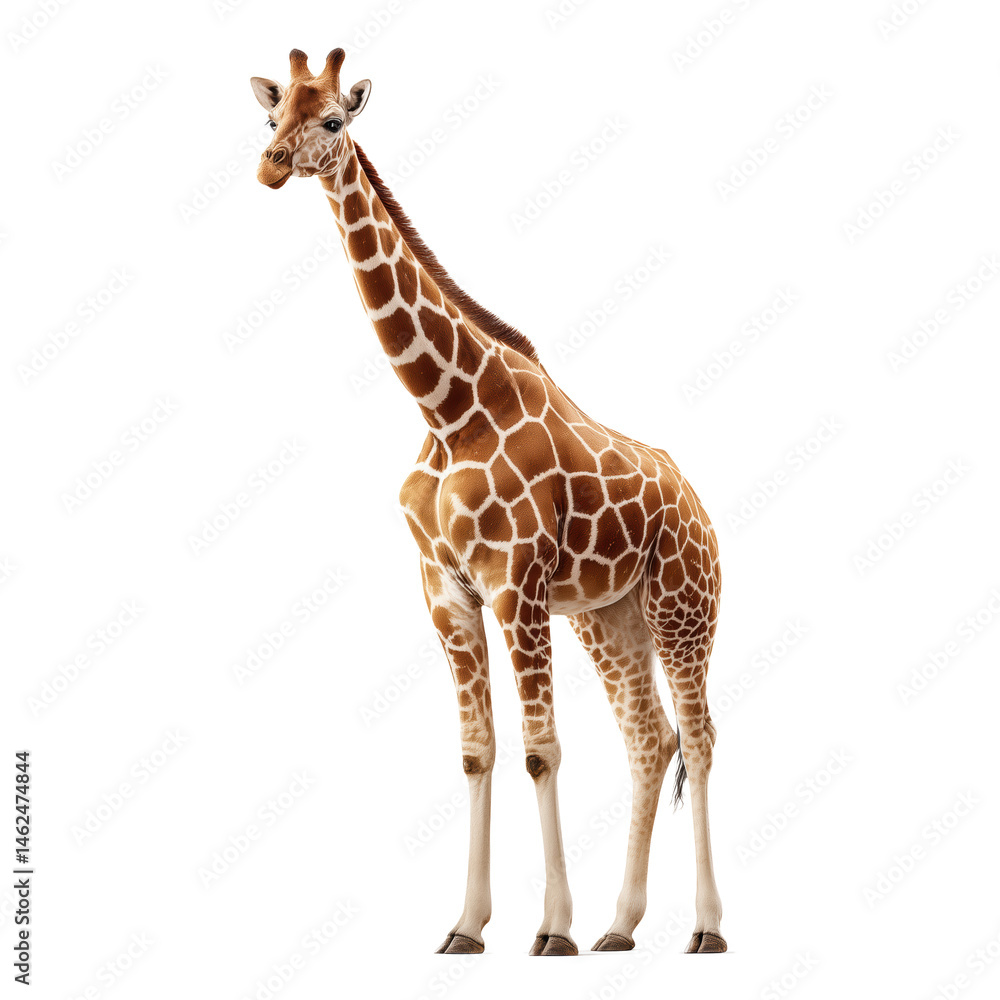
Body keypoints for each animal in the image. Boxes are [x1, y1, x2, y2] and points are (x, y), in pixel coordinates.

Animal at [250, 47, 727, 957]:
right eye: (270, 114)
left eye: (333, 119)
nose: (271, 165)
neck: (447, 408)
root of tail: (700, 507)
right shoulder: (446, 590)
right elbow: (477, 751)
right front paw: (468, 926)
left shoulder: (517, 584)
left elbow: (542, 748)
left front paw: (552, 930)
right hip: (610, 617)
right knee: (649, 740)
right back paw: (622, 926)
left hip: (683, 607)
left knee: (700, 735)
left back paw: (706, 928)